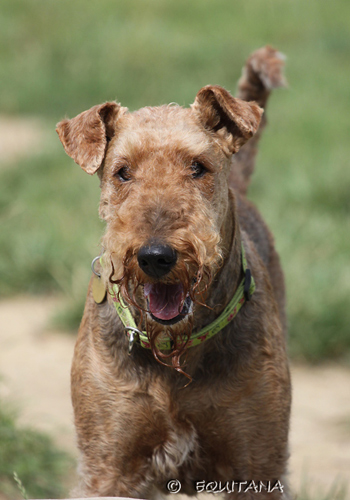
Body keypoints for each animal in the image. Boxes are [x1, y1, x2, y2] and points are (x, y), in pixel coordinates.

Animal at [56, 45, 290, 498]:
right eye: (122, 171)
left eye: (198, 167)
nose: (155, 256)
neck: (173, 352)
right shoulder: (108, 465)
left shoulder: (258, 463)